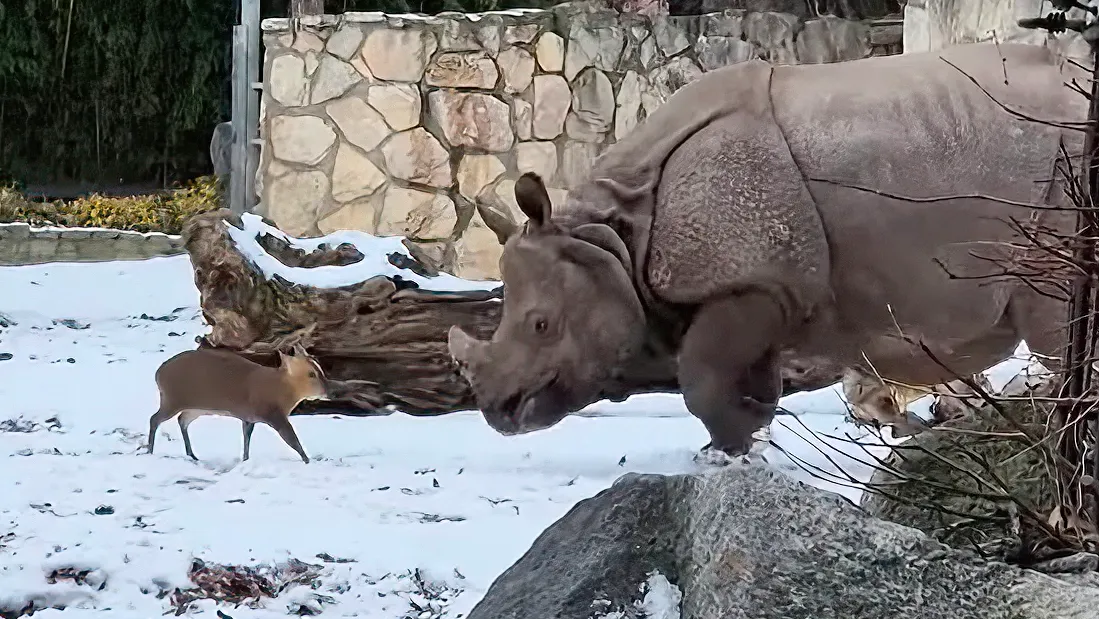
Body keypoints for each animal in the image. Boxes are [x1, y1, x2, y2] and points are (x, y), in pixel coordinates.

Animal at [145, 344, 327, 463]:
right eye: (311, 374)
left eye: (320, 368)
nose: (329, 390)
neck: (280, 391)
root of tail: (157, 374)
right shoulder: (273, 414)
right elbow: (292, 439)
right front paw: (307, 460)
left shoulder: (248, 417)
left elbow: (246, 438)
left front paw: (245, 459)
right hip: (172, 399)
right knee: (154, 418)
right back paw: (150, 450)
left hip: (194, 407)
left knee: (182, 420)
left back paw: (192, 454)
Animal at [448, 41, 1087, 457]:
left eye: (540, 325)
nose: (499, 413)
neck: (613, 234)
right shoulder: (767, 287)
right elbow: (746, 376)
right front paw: (749, 433)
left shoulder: (754, 281)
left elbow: (699, 376)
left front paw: (734, 448)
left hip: (1067, 175)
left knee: (1057, 322)